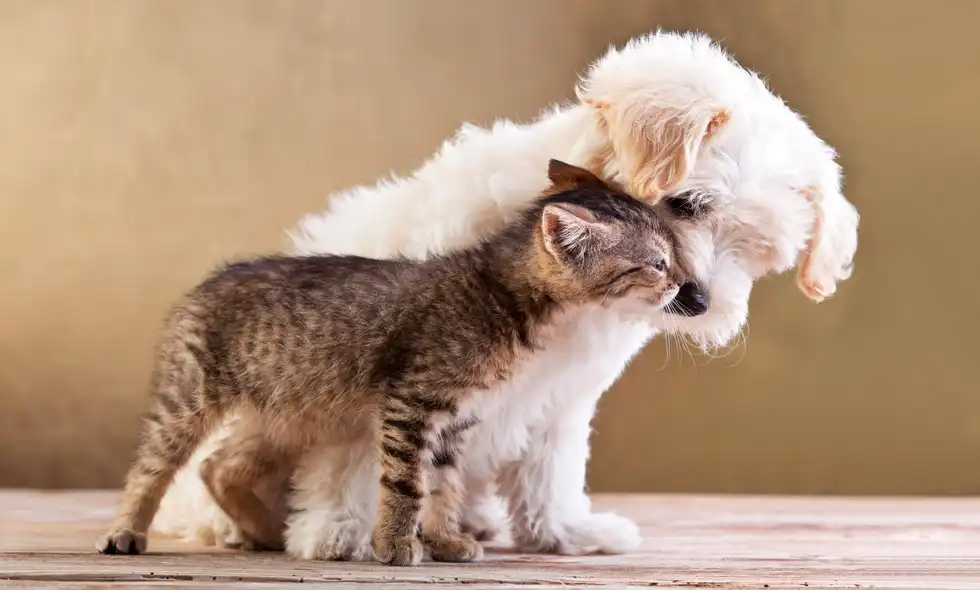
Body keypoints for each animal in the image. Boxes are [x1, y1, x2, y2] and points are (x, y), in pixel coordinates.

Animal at [95, 160, 684, 568]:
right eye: (656, 263)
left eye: (671, 256)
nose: (683, 285)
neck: (503, 297)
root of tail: (211, 277)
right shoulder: (412, 404)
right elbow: (407, 484)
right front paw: (397, 542)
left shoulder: (457, 420)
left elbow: (443, 487)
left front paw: (445, 538)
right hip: (188, 399)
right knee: (152, 466)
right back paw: (126, 532)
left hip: (289, 414)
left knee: (218, 466)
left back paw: (264, 531)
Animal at [151, 31, 856, 560]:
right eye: (686, 204)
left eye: (757, 252)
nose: (702, 301)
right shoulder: (387, 360)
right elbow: (356, 453)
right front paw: (340, 529)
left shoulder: (563, 391)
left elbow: (551, 464)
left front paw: (564, 531)